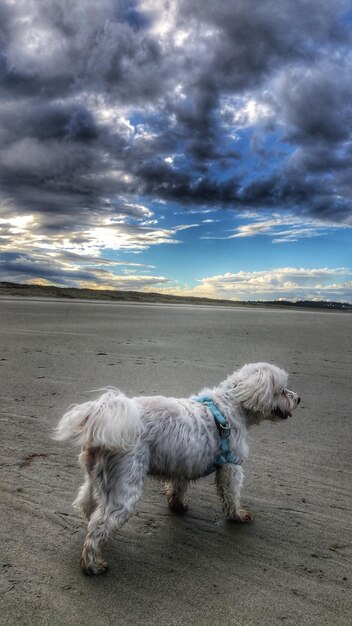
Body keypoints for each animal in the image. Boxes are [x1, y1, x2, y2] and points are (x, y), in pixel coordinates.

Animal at [54, 360, 300, 572]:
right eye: (282, 390)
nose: (298, 398)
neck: (231, 404)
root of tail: (104, 418)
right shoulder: (231, 465)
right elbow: (232, 494)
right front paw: (238, 515)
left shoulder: (183, 462)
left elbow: (178, 487)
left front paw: (177, 505)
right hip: (124, 485)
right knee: (101, 522)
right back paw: (92, 564)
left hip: (97, 479)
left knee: (89, 506)